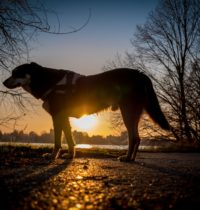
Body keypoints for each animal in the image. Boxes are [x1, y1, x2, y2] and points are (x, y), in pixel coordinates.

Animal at [3, 62, 170, 161]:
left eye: (17, 72)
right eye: (12, 72)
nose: (3, 82)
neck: (50, 81)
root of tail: (141, 74)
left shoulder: (57, 116)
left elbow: (57, 141)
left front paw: (52, 156)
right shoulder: (64, 117)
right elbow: (70, 139)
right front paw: (70, 155)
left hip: (128, 111)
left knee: (133, 138)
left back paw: (127, 158)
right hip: (133, 112)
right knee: (137, 138)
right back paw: (132, 158)